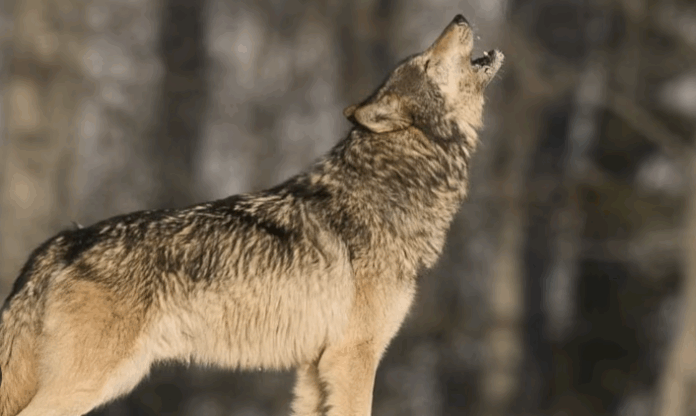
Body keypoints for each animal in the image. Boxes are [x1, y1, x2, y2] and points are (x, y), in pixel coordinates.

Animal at [0, 14, 502, 416]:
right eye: (426, 62)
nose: (459, 16)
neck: (391, 185)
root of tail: (67, 240)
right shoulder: (353, 357)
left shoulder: (314, 367)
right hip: (91, 382)